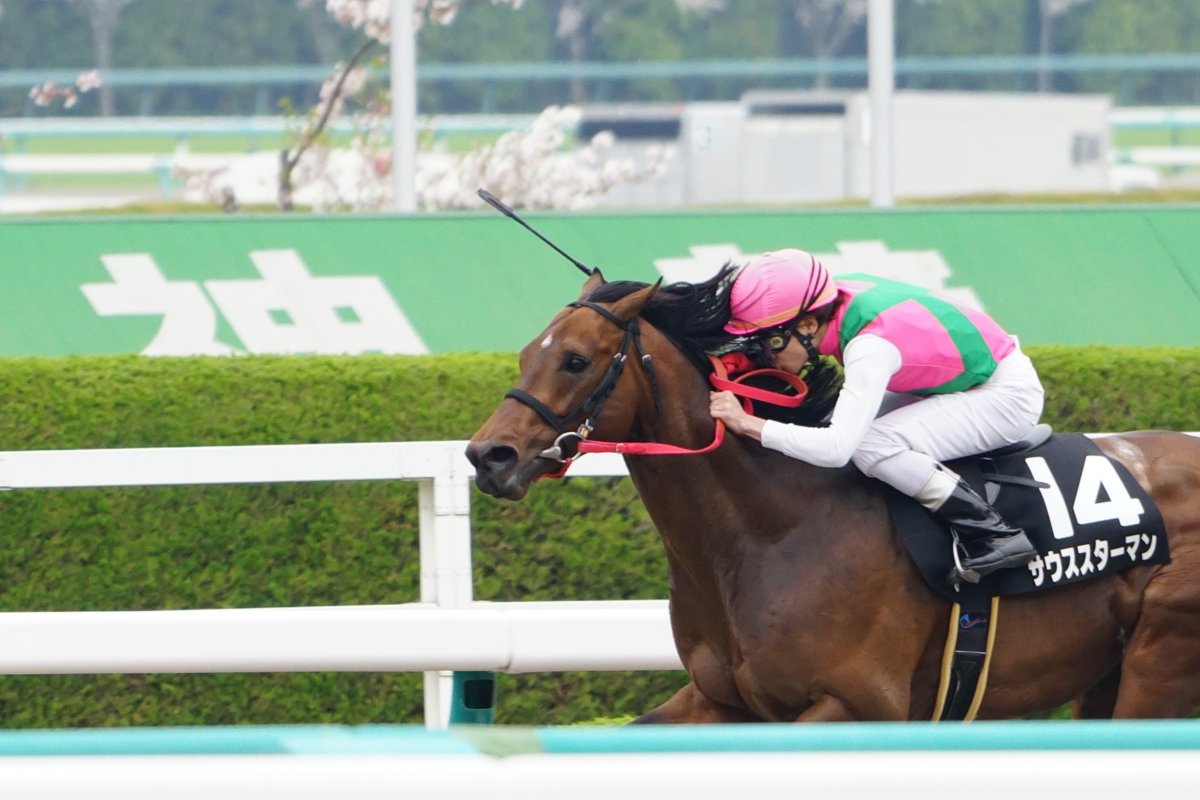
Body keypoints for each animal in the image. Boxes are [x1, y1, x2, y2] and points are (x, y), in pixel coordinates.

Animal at [466, 269, 1200, 722]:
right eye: (528, 352)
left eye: (576, 360)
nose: (487, 456)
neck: (772, 532)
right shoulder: (720, 700)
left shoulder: (859, 703)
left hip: (1159, 661)